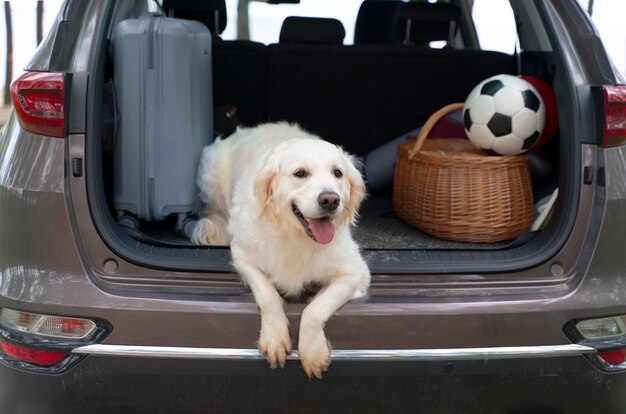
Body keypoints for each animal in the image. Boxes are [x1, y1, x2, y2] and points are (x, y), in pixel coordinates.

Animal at [190, 121, 370, 376]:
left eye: (338, 173)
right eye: (300, 173)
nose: (330, 200)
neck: (295, 237)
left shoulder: (356, 273)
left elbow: (315, 309)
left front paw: (313, 351)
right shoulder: (242, 256)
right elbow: (268, 295)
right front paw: (275, 338)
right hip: (210, 170)